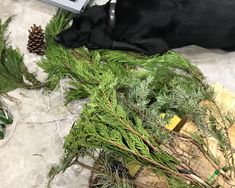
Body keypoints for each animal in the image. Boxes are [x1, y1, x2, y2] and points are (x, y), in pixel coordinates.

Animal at [54, 0, 235, 54]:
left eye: (80, 29)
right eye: (73, 23)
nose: (56, 38)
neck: (114, 15)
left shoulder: (158, 46)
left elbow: (121, 43)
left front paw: (95, 44)